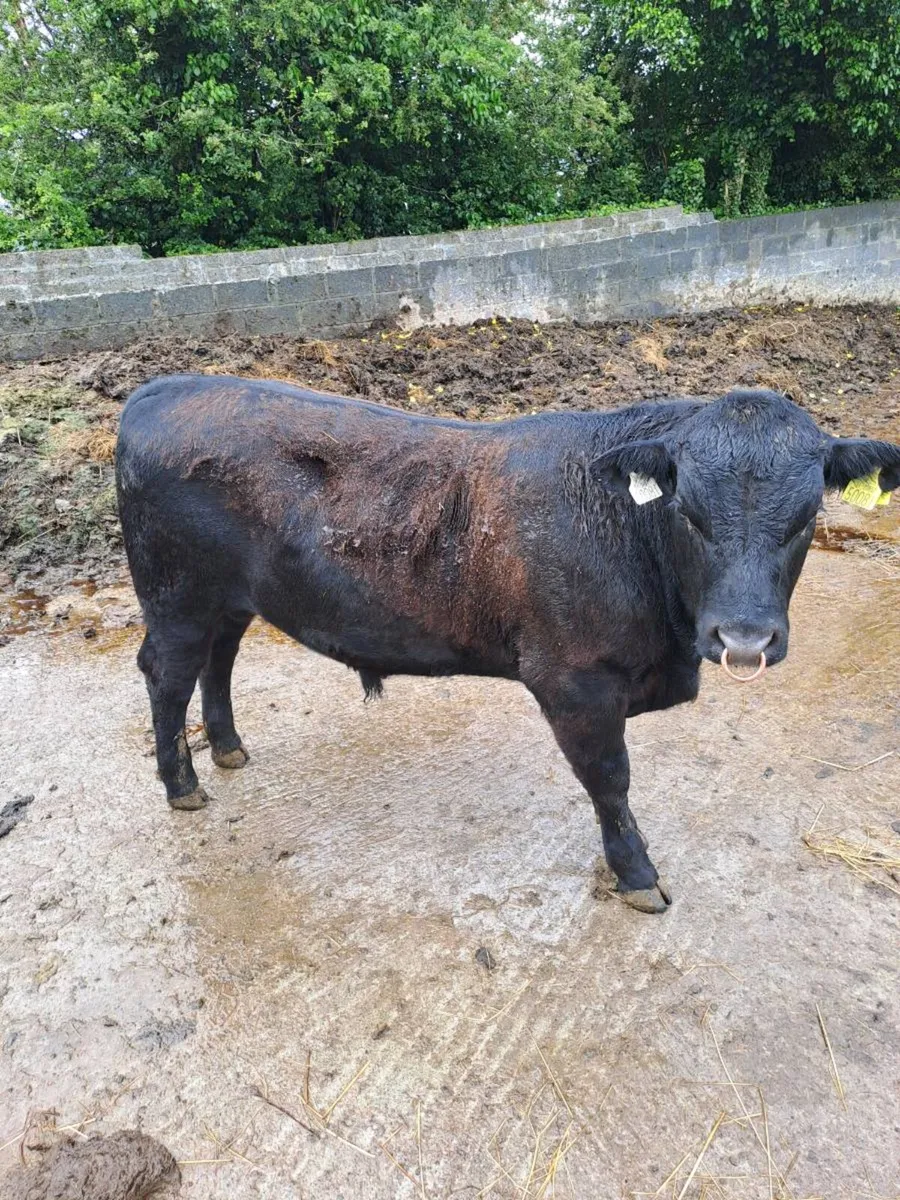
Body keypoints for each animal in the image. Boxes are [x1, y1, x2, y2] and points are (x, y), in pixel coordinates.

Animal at [115, 377, 900, 913]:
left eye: (806, 516)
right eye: (688, 512)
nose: (743, 637)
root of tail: (162, 389)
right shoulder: (574, 680)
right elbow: (611, 780)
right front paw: (637, 874)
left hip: (227, 600)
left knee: (218, 661)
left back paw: (227, 747)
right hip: (177, 598)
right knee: (166, 673)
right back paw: (182, 784)